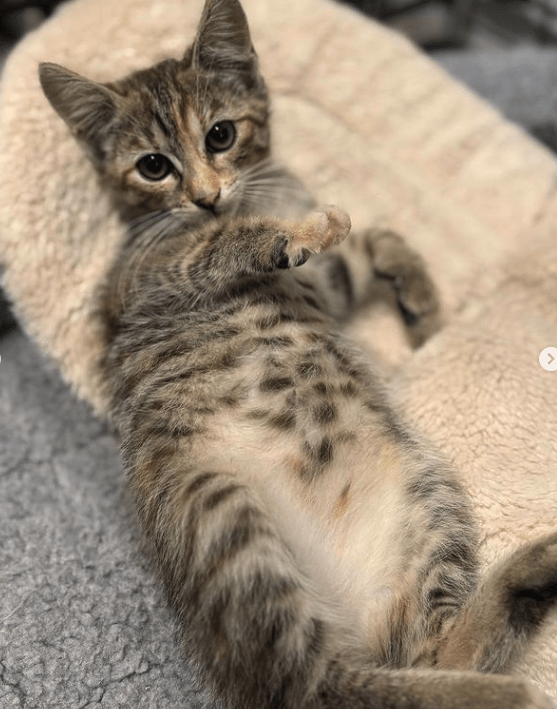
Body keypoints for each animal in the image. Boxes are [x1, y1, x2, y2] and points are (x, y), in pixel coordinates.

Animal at [41, 1, 556, 708]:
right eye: (152, 167)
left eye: (221, 135)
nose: (205, 195)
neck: (257, 193)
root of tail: (356, 618)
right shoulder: (149, 274)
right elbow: (226, 243)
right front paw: (299, 229)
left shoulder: (323, 284)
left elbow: (370, 244)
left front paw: (421, 301)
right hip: (224, 515)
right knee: (319, 683)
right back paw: (507, 687)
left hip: (429, 498)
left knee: (428, 657)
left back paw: (532, 575)